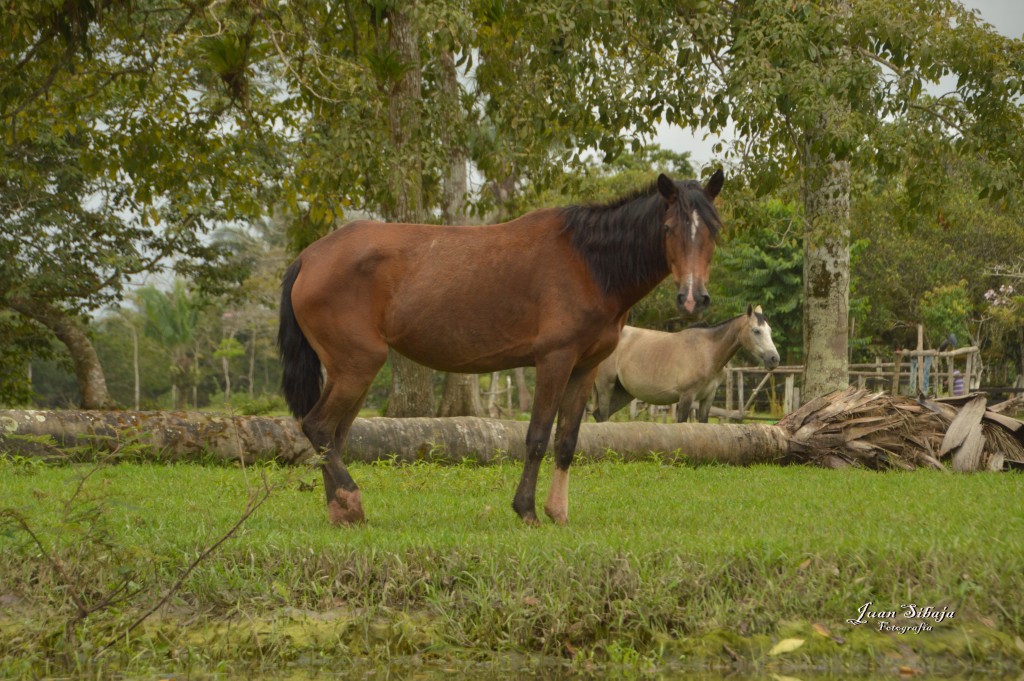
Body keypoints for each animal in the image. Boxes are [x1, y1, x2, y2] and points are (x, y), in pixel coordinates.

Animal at [276, 171, 724, 524]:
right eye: (668, 229)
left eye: (713, 230)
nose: (692, 298)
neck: (590, 263)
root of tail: (308, 258)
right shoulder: (554, 360)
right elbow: (538, 436)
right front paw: (526, 510)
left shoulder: (585, 367)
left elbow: (567, 441)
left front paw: (557, 512)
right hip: (358, 365)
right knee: (318, 427)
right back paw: (350, 501)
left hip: (352, 370)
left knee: (334, 436)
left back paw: (339, 511)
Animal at [593, 303, 774, 419]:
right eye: (756, 331)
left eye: (770, 330)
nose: (774, 358)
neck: (707, 353)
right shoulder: (686, 396)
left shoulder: (708, 397)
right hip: (606, 387)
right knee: (602, 416)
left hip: (623, 393)